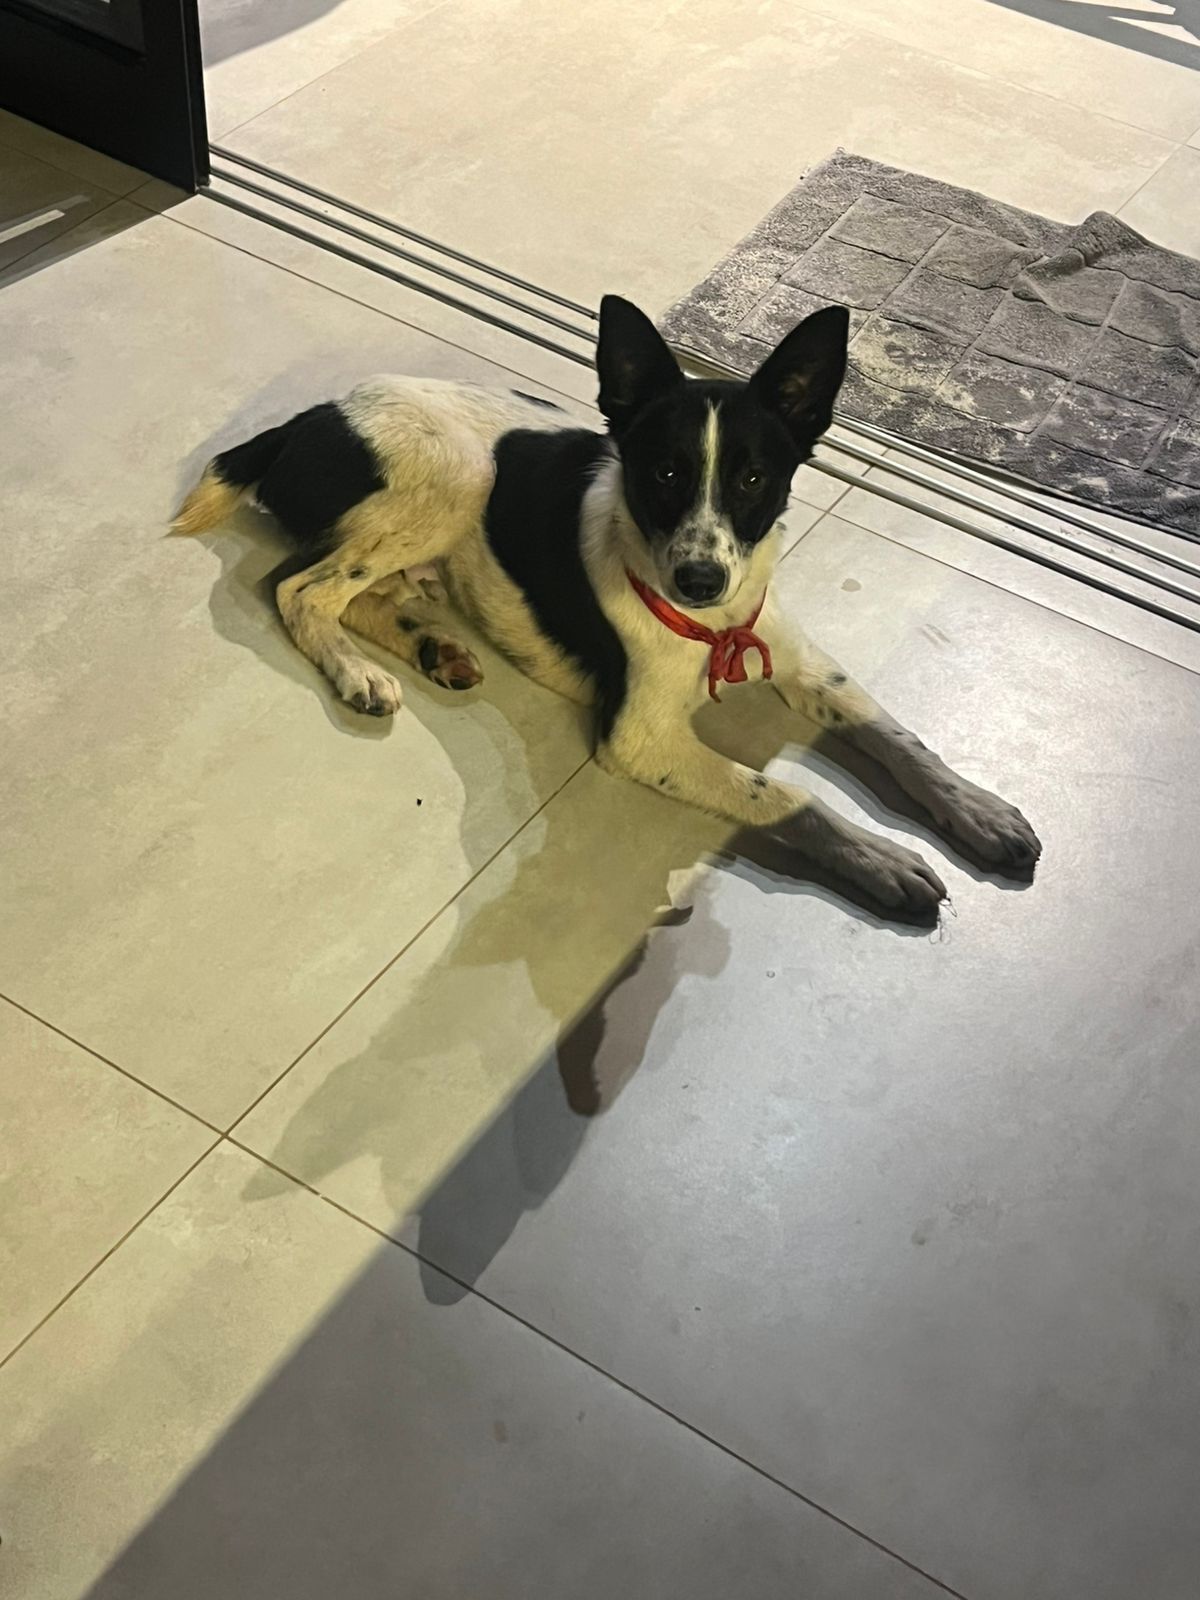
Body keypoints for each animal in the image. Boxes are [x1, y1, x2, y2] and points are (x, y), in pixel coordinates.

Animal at [174, 295, 1040, 920]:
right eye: (663, 472)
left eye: (754, 479)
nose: (700, 579)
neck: (711, 631)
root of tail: (313, 417)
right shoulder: (641, 739)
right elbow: (786, 795)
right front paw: (879, 857)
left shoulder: (800, 660)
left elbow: (898, 738)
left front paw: (979, 809)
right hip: (458, 478)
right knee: (301, 588)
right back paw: (357, 673)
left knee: (356, 593)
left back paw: (433, 647)